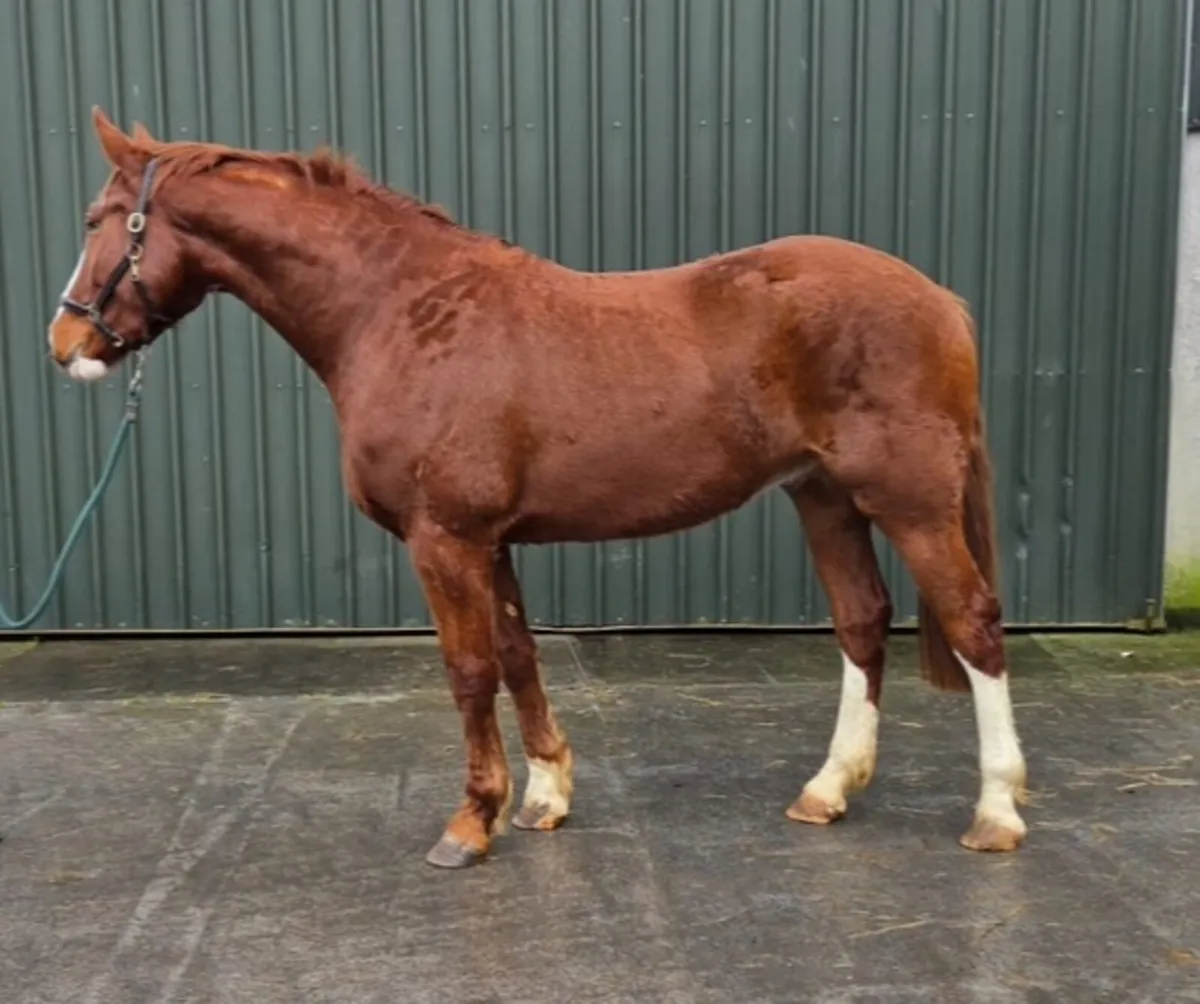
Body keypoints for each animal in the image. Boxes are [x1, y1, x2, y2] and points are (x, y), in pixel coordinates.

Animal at [48, 107, 1028, 869]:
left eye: (102, 219)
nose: (66, 343)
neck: (401, 312)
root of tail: (940, 300)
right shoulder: (492, 541)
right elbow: (519, 655)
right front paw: (544, 796)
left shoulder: (443, 538)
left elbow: (470, 669)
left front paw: (469, 822)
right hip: (823, 497)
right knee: (862, 622)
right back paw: (828, 790)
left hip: (909, 501)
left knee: (974, 623)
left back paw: (996, 810)